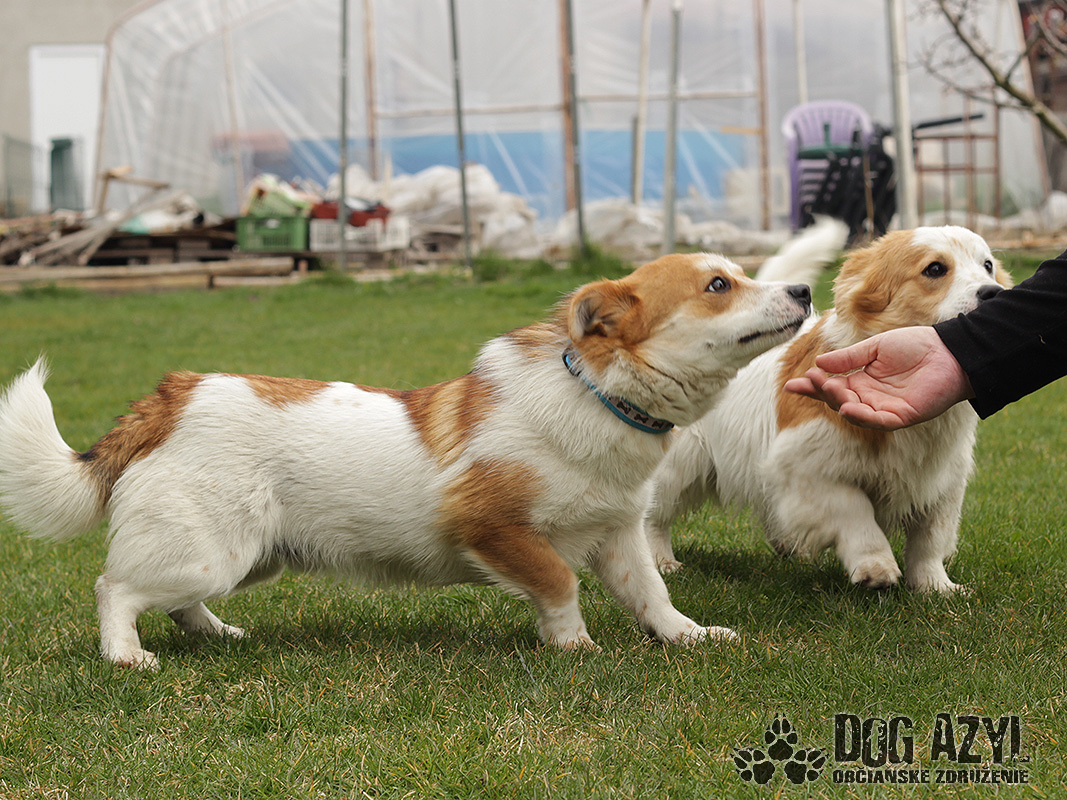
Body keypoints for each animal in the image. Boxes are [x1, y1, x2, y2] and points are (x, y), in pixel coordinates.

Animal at [0, 254, 813, 669]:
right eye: (717, 286)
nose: (805, 288)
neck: (596, 396)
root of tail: (171, 396)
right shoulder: (494, 529)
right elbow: (557, 582)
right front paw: (571, 643)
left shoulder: (618, 533)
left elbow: (652, 593)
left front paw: (685, 637)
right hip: (207, 553)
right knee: (115, 589)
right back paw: (125, 656)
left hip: (243, 558)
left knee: (173, 602)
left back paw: (217, 636)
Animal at [646, 226, 1013, 592]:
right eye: (935, 269)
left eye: (988, 266)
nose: (995, 293)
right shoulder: (805, 467)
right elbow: (855, 512)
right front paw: (876, 566)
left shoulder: (945, 482)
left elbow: (930, 540)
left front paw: (936, 588)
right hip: (676, 465)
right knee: (652, 516)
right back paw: (661, 561)